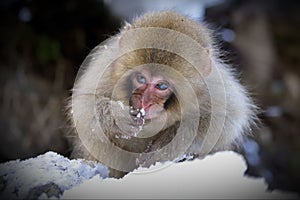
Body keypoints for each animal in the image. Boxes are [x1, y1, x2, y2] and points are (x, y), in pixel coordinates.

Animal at [67, 10, 255, 177]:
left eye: (162, 86)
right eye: (141, 79)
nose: (144, 102)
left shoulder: (213, 87)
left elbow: (227, 117)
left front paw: (160, 152)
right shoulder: (106, 67)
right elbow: (83, 107)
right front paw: (118, 116)